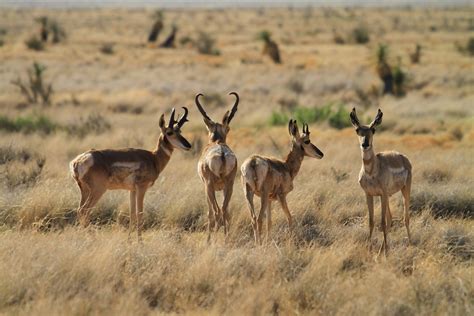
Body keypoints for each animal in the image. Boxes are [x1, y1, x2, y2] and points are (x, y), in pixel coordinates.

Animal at [70, 107, 191, 238]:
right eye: (169, 132)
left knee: (79, 210)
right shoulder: (141, 188)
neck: (153, 158)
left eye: (180, 131)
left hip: (85, 190)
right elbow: (140, 213)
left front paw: (129, 239)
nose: (188, 145)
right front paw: (140, 240)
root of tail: (79, 160)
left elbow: (132, 213)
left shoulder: (132, 190)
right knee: (84, 210)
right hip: (98, 190)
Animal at [195, 91, 239, 239]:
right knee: (225, 210)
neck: (217, 141)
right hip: (229, 186)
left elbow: (209, 212)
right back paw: (226, 239)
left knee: (215, 211)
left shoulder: (206, 187)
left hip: (209, 187)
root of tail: (221, 153)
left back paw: (212, 238)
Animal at [348, 107, 412, 256]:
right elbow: (371, 221)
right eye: (357, 130)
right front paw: (371, 250)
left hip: (404, 190)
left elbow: (381, 222)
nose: (365, 144)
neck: (372, 171)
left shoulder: (382, 194)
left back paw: (411, 246)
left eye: (373, 129)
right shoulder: (369, 195)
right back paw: (382, 250)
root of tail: (403, 157)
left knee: (405, 217)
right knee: (390, 218)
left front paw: (385, 254)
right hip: (387, 196)